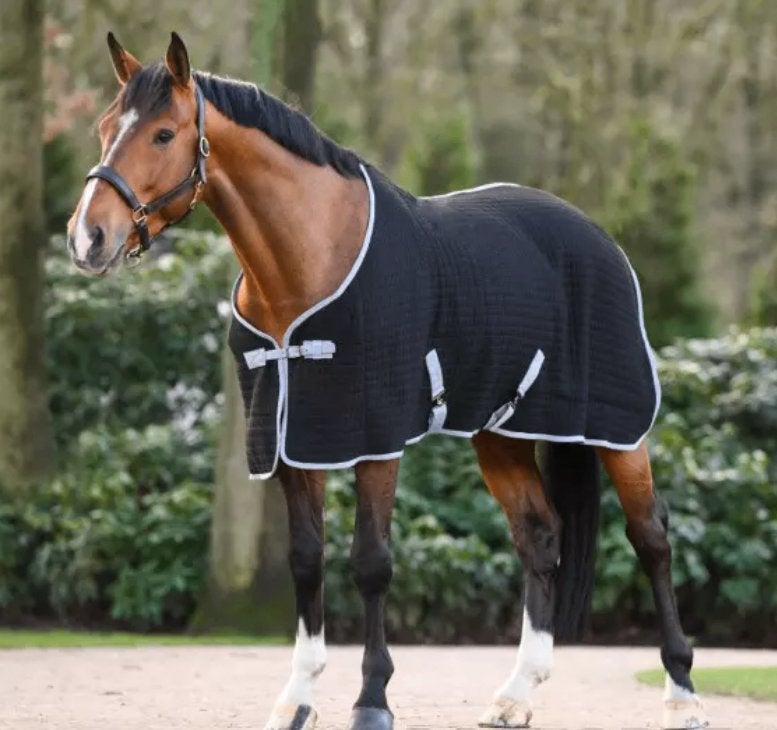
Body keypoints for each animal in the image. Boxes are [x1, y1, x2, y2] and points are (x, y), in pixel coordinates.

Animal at [66, 32, 706, 730]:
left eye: (163, 133)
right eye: (105, 127)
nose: (87, 237)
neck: (310, 257)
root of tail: (598, 239)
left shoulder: (374, 437)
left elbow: (370, 562)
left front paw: (371, 699)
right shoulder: (294, 440)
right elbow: (306, 560)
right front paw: (297, 698)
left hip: (619, 431)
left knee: (651, 537)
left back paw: (682, 693)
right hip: (501, 433)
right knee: (539, 536)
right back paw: (516, 694)